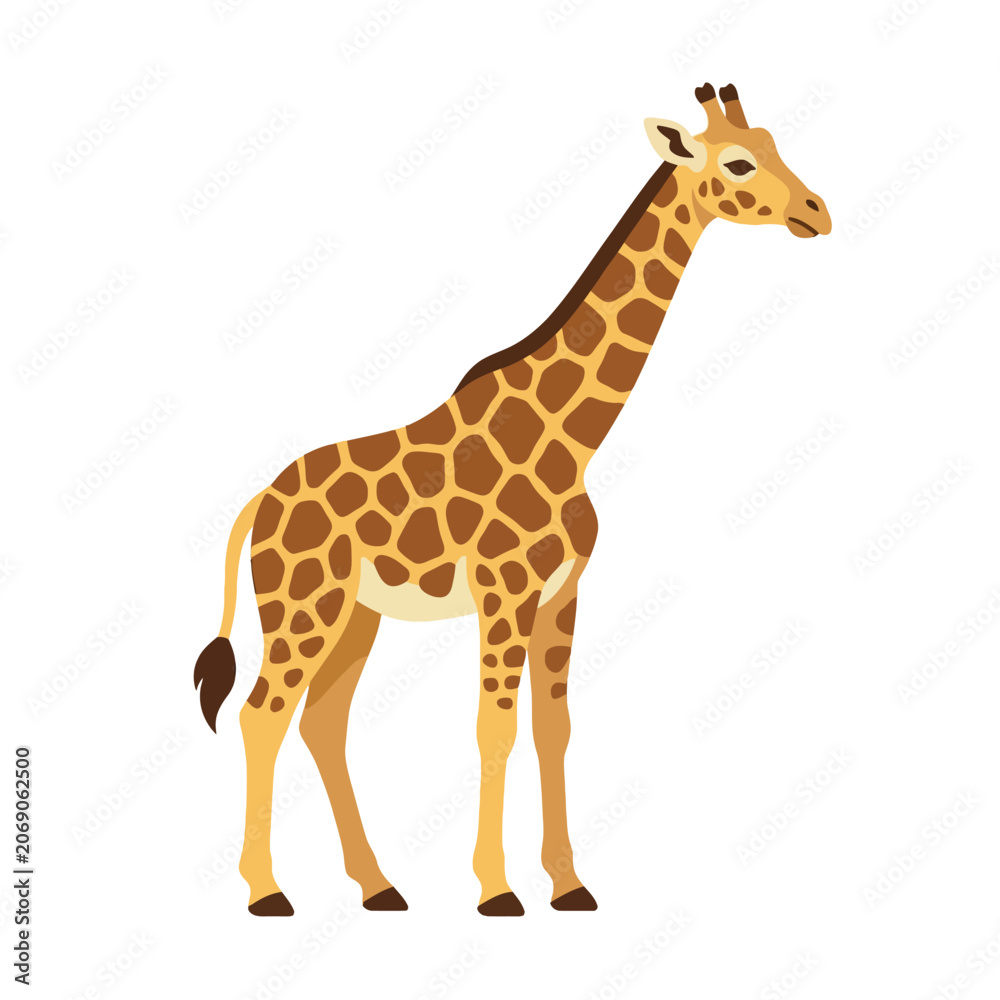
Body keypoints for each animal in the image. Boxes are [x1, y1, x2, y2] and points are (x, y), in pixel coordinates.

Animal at [194, 83, 831, 918]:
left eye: (774, 144)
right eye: (738, 162)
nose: (818, 212)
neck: (572, 440)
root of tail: (256, 505)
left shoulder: (562, 594)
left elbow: (552, 727)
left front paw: (568, 884)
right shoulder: (505, 590)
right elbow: (491, 728)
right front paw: (497, 891)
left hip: (356, 615)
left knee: (322, 724)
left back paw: (378, 886)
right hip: (304, 605)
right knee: (261, 714)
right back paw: (267, 892)